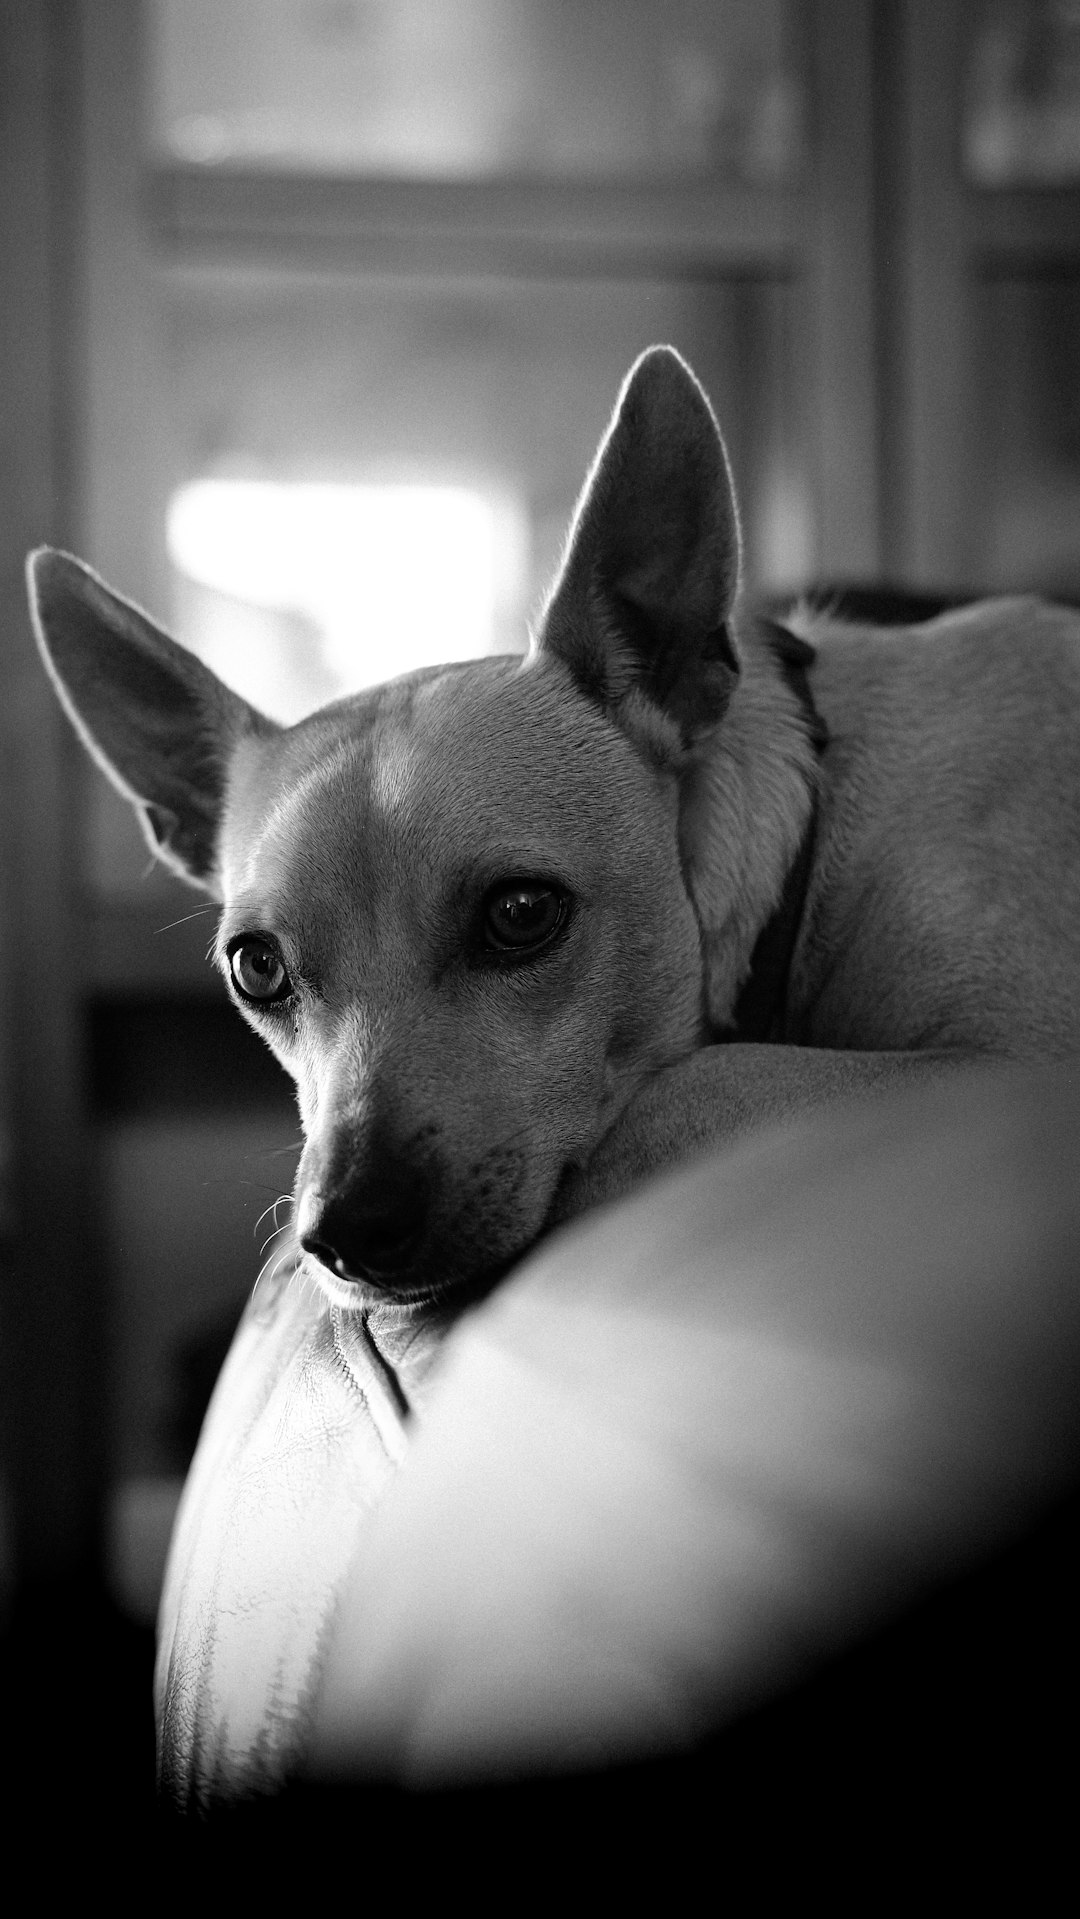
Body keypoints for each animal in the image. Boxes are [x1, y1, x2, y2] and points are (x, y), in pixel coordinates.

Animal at [25, 345, 1080, 1320]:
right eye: (257, 968)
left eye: (522, 913)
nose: (346, 1231)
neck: (808, 840)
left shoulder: (1002, 1064)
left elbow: (680, 1092)